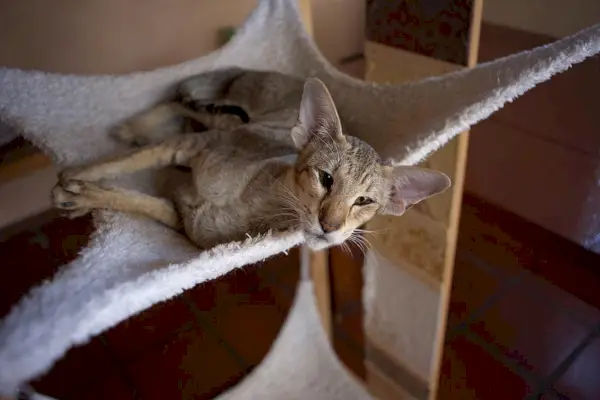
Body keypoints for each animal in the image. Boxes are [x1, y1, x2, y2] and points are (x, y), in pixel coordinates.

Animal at [52, 70, 450, 248]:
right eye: (326, 178)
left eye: (364, 201)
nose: (331, 226)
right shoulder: (188, 147)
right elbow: (126, 162)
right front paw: (75, 174)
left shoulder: (178, 216)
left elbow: (138, 201)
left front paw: (81, 194)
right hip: (224, 121)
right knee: (181, 102)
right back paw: (134, 125)